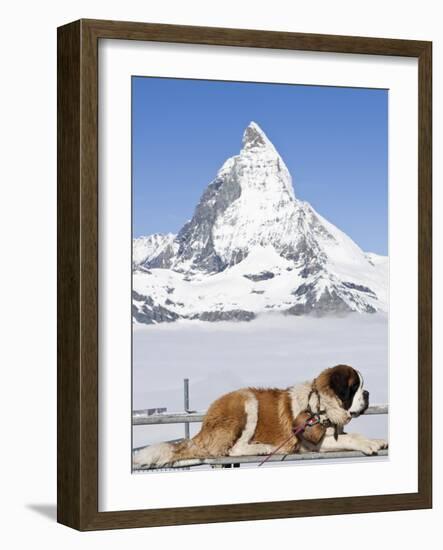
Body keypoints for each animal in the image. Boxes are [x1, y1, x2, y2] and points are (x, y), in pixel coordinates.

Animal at [133, 366, 388, 470]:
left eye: (361, 387)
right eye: (355, 387)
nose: (367, 393)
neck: (320, 404)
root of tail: (204, 425)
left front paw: (378, 440)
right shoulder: (311, 442)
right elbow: (352, 436)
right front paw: (368, 443)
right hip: (247, 402)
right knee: (231, 449)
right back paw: (263, 447)